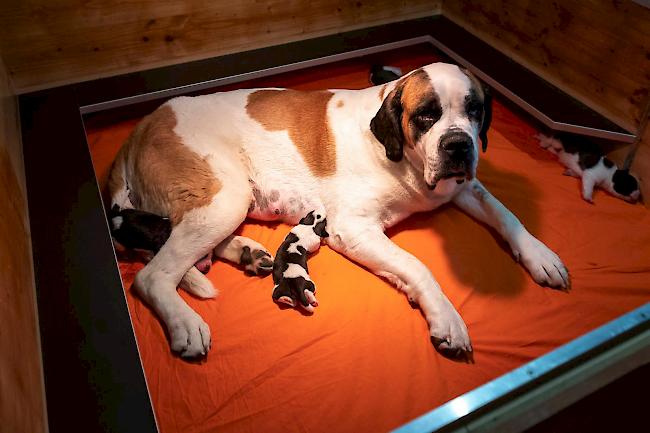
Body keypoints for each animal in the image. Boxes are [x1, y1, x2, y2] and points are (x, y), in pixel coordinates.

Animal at [106, 60, 568, 358]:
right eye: (426, 115)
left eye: (475, 111)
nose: (458, 145)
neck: (402, 155)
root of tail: (142, 126)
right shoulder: (355, 228)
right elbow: (416, 265)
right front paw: (446, 318)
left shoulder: (463, 187)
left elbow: (506, 213)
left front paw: (540, 254)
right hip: (224, 196)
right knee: (153, 274)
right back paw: (184, 322)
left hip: (221, 206)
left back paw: (247, 253)